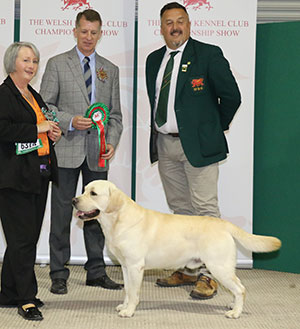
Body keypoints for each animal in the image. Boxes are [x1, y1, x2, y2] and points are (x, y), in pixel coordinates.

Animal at [72, 179, 282, 318]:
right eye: (84, 190)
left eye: (93, 193)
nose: (74, 200)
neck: (117, 220)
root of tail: (224, 224)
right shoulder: (125, 266)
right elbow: (127, 290)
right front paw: (123, 306)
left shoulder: (135, 266)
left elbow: (133, 292)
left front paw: (129, 311)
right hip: (223, 267)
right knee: (237, 289)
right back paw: (233, 305)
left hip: (219, 266)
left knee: (240, 288)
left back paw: (235, 312)